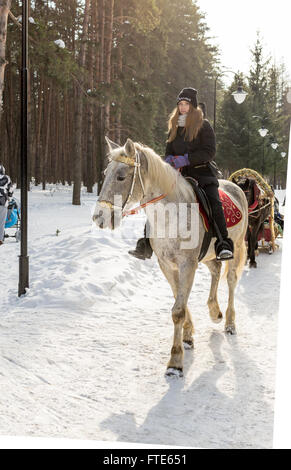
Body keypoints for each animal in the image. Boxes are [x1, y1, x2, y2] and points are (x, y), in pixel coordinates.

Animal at [93, 138, 249, 376]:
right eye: (105, 173)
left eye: (120, 176)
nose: (99, 217)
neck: (170, 216)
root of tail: (236, 186)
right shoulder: (167, 265)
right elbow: (179, 300)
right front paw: (188, 335)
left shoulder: (187, 265)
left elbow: (178, 310)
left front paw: (175, 362)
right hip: (207, 256)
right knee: (215, 271)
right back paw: (214, 311)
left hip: (236, 248)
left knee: (231, 280)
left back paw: (230, 323)